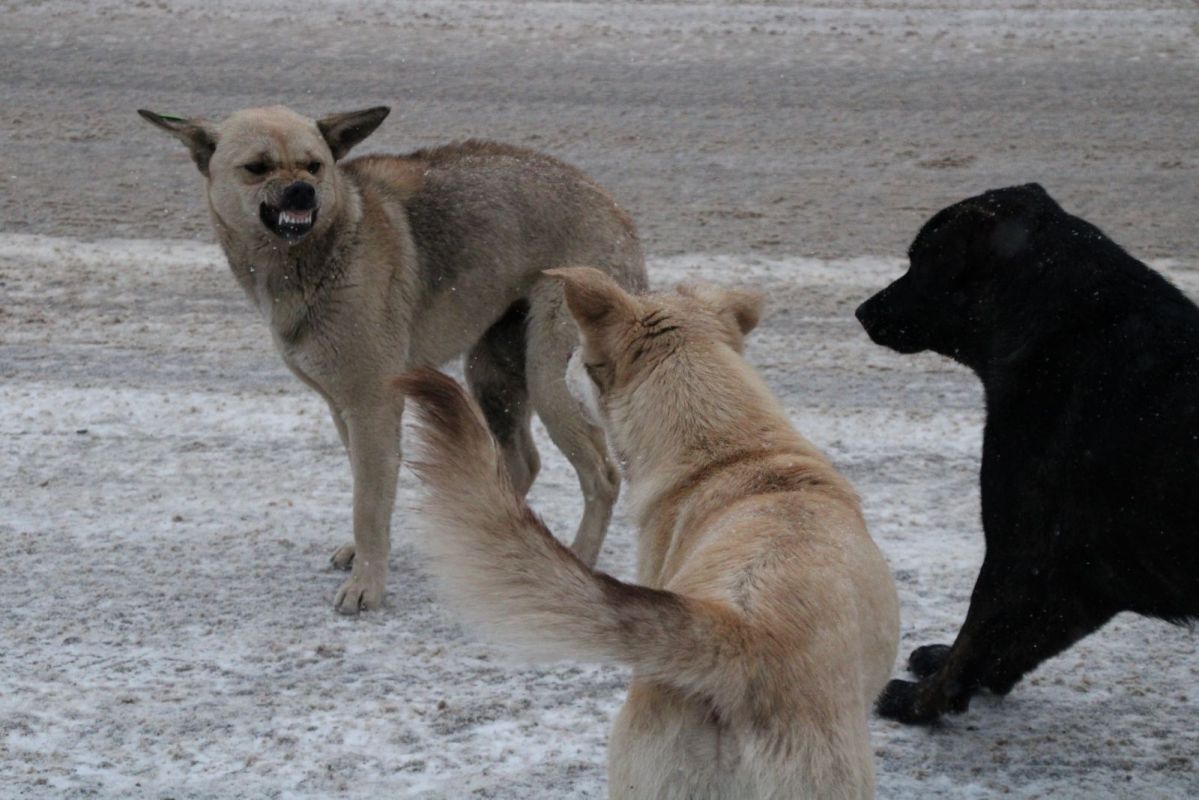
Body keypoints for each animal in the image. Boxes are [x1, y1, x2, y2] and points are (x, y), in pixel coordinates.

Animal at [137, 106, 647, 614]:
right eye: (257, 168)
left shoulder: (373, 404)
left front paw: (366, 584)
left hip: (550, 379)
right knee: (522, 463)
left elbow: (368, 502)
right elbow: (368, 488)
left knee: (602, 478)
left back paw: (578, 559)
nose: (302, 191)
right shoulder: (342, 407)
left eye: (314, 166)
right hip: (492, 376)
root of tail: (617, 211)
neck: (329, 246)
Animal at [858, 185, 1199, 724]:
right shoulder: (1085, 573)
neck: (1063, 324)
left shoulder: (1019, 543)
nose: (862, 311)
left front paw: (922, 702)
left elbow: (975, 634)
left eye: (919, 260)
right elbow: (1013, 643)